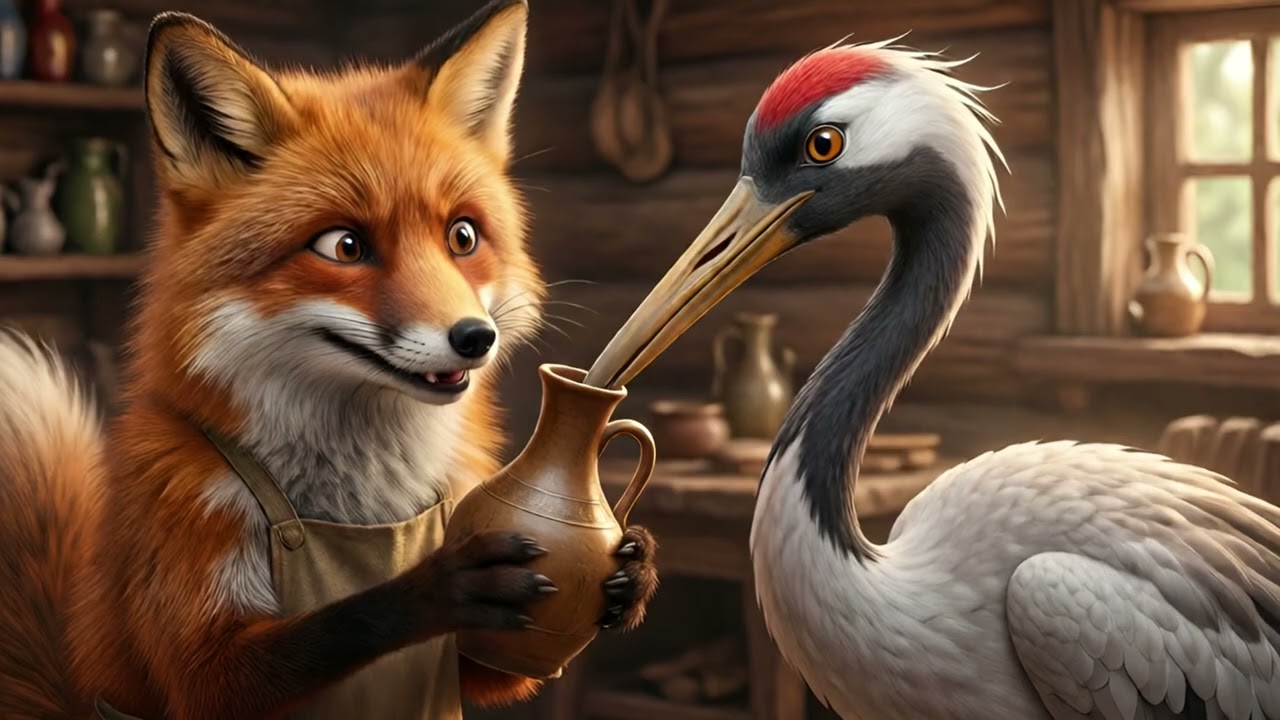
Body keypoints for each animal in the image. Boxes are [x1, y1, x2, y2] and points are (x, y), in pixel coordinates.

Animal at [0, 1, 660, 718]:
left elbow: (495, 665)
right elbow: (335, 625)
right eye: (344, 246)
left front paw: (631, 574)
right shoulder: (192, 606)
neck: (362, 505)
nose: (475, 338)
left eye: (462, 236)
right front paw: (435, 587)